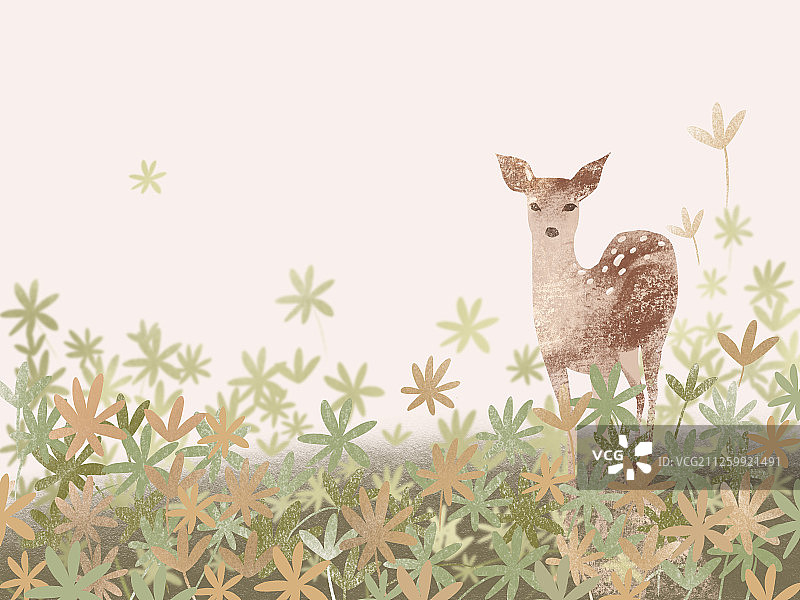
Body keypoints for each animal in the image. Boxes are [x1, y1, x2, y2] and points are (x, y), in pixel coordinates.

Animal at [496, 153, 678, 432]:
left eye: (571, 205)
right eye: (534, 205)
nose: (551, 230)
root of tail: (661, 236)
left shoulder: (600, 357)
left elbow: (601, 409)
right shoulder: (552, 359)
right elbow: (569, 418)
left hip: (656, 329)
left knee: (653, 387)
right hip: (625, 348)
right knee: (639, 390)